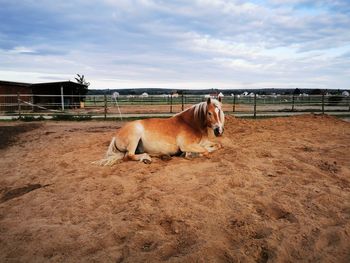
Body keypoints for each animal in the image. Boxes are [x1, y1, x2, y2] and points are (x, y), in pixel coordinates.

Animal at [97, 98, 226, 166]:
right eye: (209, 113)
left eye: (220, 112)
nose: (219, 130)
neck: (190, 124)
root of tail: (116, 136)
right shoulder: (187, 145)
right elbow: (206, 151)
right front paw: (190, 155)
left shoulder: (202, 143)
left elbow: (218, 145)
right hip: (135, 135)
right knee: (129, 155)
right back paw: (147, 158)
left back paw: (163, 156)